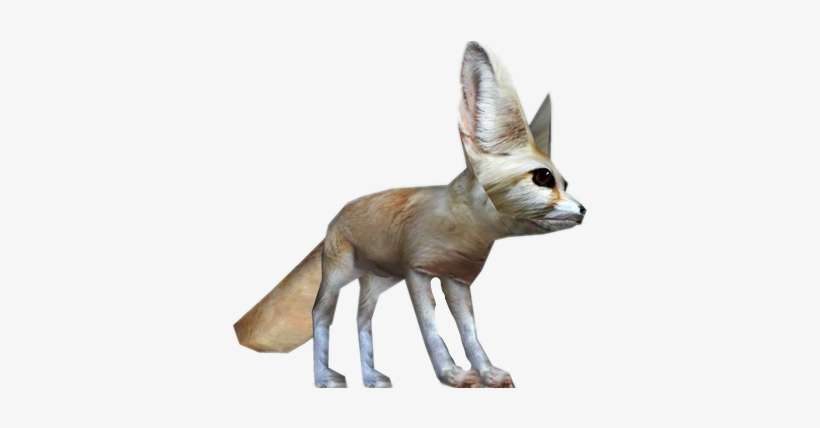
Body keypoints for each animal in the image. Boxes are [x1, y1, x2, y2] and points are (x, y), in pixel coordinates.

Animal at [234, 42, 586, 388]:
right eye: (543, 178)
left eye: (565, 183)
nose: (584, 210)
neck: (463, 228)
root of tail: (337, 215)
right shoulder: (417, 272)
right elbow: (431, 327)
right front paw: (452, 373)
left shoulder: (457, 279)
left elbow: (469, 332)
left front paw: (487, 373)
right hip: (339, 276)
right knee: (320, 313)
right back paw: (324, 377)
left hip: (378, 282)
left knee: (362, 318)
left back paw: (371, 377)